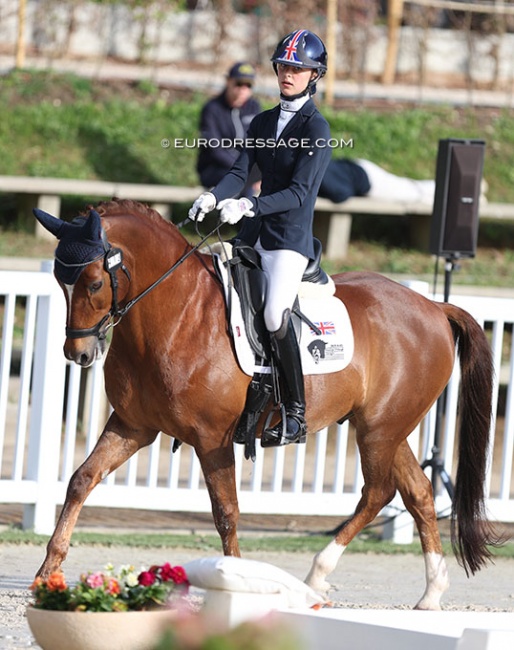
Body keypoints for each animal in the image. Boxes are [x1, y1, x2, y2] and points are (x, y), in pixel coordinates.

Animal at [34, 197, 498, 608]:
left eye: (94, 283)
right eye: (59, 281)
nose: (78, 354)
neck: (176, 314)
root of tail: (433, 306)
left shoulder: (212, 439)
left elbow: (226, 512)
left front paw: (235, 581)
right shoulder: (132, 426)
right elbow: (80, 480)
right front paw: (47, 573)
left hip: (379, 430)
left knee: (378, 492)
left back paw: (316, 576)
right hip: (385, 428)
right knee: (418, 492)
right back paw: (431, 594)